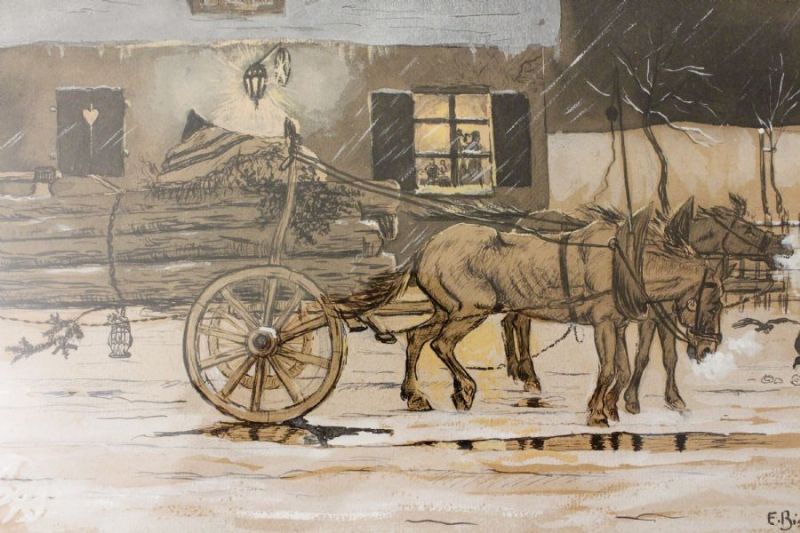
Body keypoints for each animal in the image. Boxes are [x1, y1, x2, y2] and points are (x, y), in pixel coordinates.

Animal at [338, 205, 726, 427]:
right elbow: (611, 368)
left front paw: (613, 407)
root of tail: (424, 250)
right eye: (715, 304)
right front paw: (598, 412)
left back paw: (416, 396)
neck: (626, 265)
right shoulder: (603, 324)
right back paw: (465, 390)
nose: (709, 348)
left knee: (417, 338)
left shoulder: (616, 325)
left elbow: (623, 367)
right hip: (468, 312)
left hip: (445, 309)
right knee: (441, 345)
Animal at [501, 195, 792, 414]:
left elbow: (668, 357)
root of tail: (522, 222)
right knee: (518, 323)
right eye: (748, 229)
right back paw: (528, 375)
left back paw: (522, 372)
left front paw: (672, 398)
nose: (783, 247)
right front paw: (630, 400)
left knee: (512, 321)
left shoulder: (663, 318)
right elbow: (642, 356)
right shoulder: (651, 318)